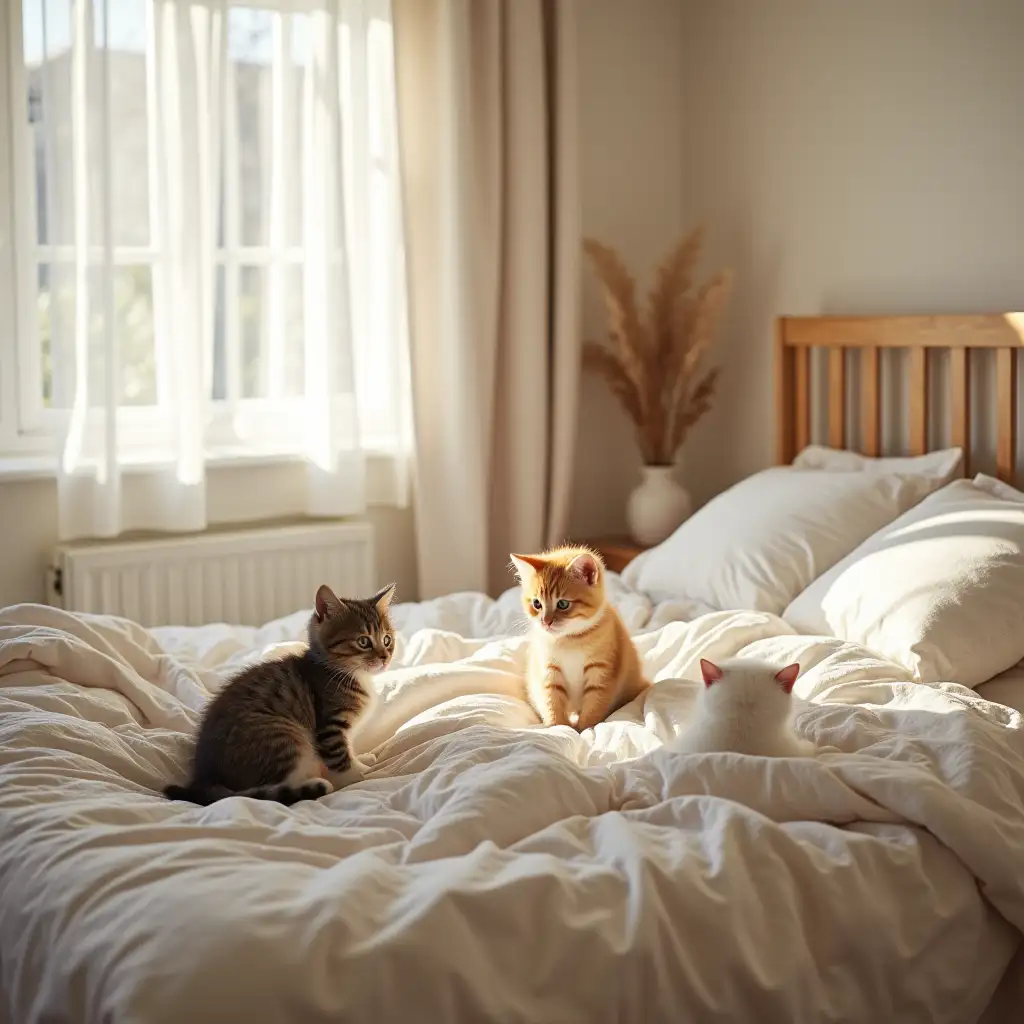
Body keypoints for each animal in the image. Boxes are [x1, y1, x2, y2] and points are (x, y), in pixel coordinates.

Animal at [163, 581, 395, 802]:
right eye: (363, 641)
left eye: (387, 640)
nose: (385, 658)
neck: (345, 672)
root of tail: (205, 778)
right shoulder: (330, 726)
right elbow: (339, 756)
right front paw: (358, 774)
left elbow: (348, 748)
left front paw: (361, 760)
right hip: (281, 736)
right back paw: (315, 784)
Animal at [509, 548, 647, 733]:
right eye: (537, 604)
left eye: (563, 604)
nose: (546, 621)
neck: (570, 640)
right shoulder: (549, 670)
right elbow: (551, 701)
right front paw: (557, 727)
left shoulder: (602, 672)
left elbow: (594, 705)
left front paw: (585, 730)